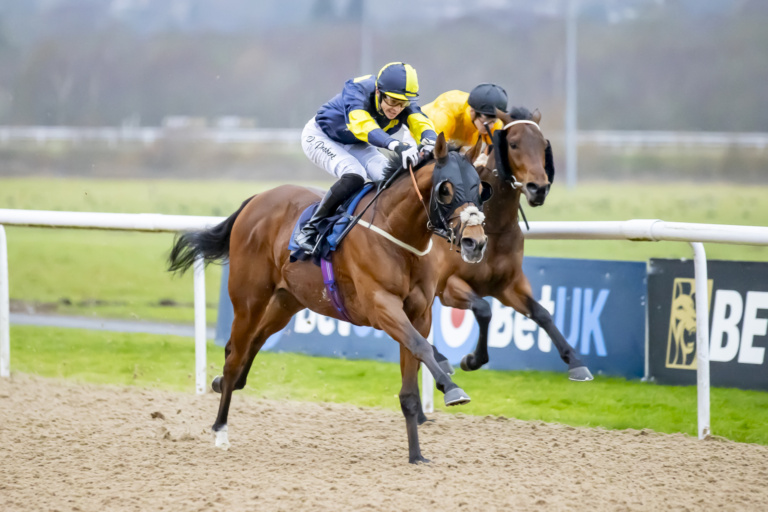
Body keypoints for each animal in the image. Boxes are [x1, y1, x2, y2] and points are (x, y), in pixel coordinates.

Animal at [170, 133, 492, 464]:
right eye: (446, 189)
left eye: (480, 188)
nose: (475, 243)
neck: (397, 232)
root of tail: (256, 199)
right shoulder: (381, 306)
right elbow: (422, 346)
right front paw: (452, 388)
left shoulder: (420, 314)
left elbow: (411, 381)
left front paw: (416, 455)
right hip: (249, 299)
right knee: (235, 357)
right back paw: (221, 429)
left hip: (287, 301)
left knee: (252, 342)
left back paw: (223, 384)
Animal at [432, 107, 592, 380]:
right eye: (514, 144)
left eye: (543, 145)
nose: (538, 188)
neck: (493, 226)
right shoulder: (447, 286)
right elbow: (483, 309)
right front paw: (472, 359)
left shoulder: (508, 284)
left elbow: (542, 313)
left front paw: (575, 361)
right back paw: (439, 358)